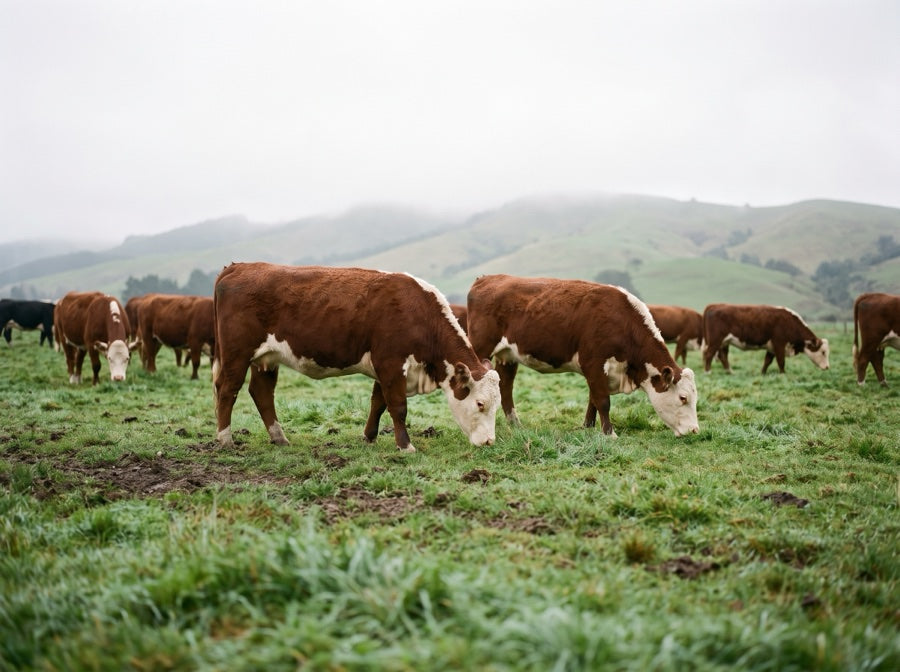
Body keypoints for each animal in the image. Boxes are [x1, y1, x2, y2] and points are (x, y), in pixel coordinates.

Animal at [212, 263, 501, 452]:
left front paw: (369, 437)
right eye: (480, 404)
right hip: (236, 354)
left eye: (496, 405)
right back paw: (225, 440)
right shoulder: (391, 363)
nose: (489, 442)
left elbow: (378, 403)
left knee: (261, 392)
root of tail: (238, 266)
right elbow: (397, 406)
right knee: (227, 390)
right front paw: (405, 446)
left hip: (266, 359)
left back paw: (279, 438)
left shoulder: (384, 367)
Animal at [465, 275, 699, 438]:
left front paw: (587, 427)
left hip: (508, 355)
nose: (695, 430)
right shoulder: (594, 363)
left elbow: (593, 399)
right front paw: (610, 434)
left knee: (505, 385)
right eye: (683, 398)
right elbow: (602, 401)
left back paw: (515, 423)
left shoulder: (597, 370)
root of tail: (487, 278)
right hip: (479, 348)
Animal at [701, 303, 829, 374]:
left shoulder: (771, 347)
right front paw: (783, 374)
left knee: (723, 356)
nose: (827, 367)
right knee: (709, 354)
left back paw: (730, 372)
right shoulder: (779, 344)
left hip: (724, 342)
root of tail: (714, 305)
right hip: (715, 341)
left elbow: (767, 361)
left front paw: (762, 373)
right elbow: (781, 361)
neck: (789, 322)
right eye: (823, 352)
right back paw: (708, 372)